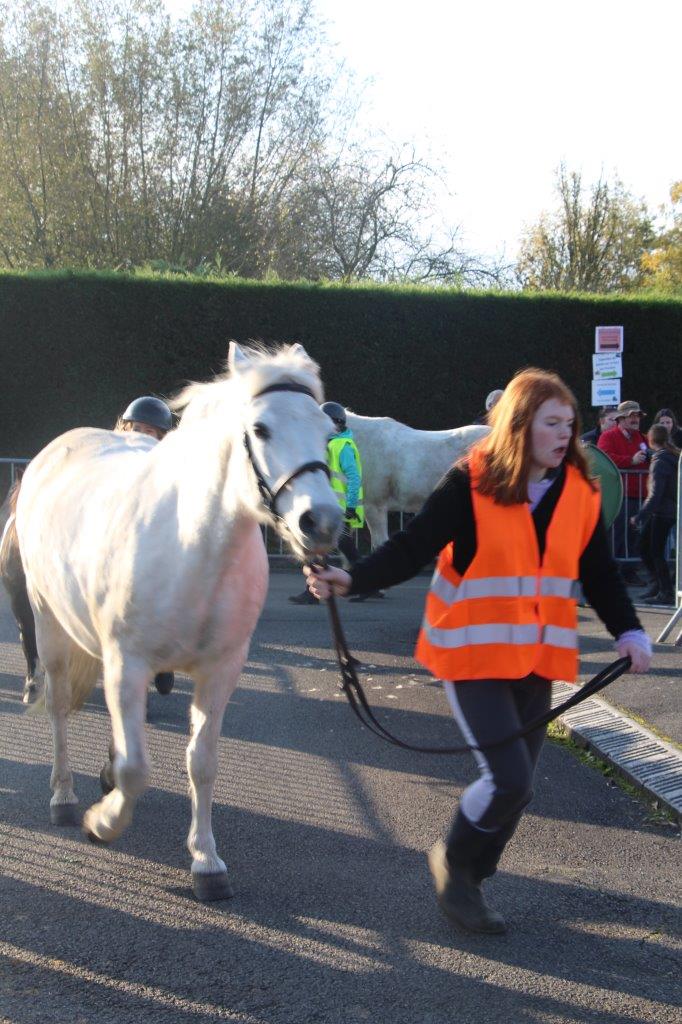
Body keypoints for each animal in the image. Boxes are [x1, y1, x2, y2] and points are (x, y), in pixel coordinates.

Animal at [17, 342, 339, 897]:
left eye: (327, 431)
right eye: (261, 429)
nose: (321, 521)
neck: (192, 549)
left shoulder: (221, 670)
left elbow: (202, 763)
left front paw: (206, 862)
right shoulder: (127, 663)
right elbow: (137, 769)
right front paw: (103, 822)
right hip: (48, 623)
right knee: (58, 706)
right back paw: (64, 798)